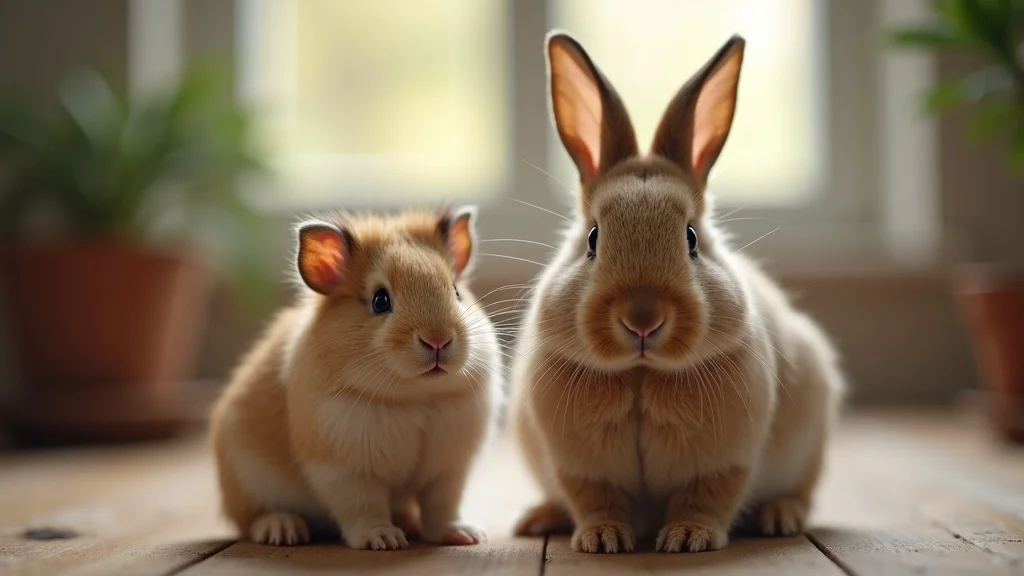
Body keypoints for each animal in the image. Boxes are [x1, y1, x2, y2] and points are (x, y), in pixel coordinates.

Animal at [209, 207, 502, 550]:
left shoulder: (448, 470)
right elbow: (363, 507)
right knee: (253, 519)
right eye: (380, 300)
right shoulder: (345, 470)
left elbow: (442, 507)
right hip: (248, 482)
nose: (438, 341)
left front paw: (463, 535)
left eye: (456, 292)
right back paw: (282, 530)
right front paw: (383, 540)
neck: (417, 397)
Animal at [508, 31, 845, 554]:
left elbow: (705, 496)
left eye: (691, 239)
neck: (641, 373)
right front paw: (602, 540)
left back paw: (779, 517)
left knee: (802, 493)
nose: (642, 319)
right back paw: (538, 519)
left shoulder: (724, 460)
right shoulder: (580, 466)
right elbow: (596, 498)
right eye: (593, 239)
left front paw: (688, 539)